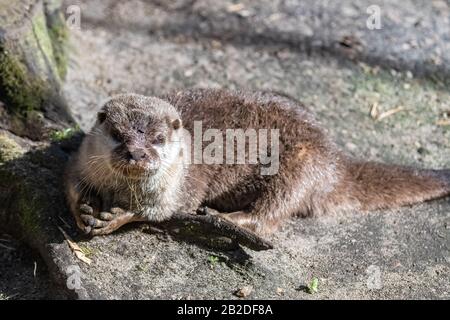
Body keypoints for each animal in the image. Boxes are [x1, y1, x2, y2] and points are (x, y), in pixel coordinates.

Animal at [65, 89, 450, 236]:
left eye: (158, 139)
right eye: (118, 135)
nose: (137, 153)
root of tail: (335, 160)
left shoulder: (181, 187)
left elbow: (160, 210)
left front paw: (117, 217)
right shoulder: (80, 160)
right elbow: (69, 182)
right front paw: (85, 208)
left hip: (300, 167)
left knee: (273, 212)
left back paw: (225, 216)